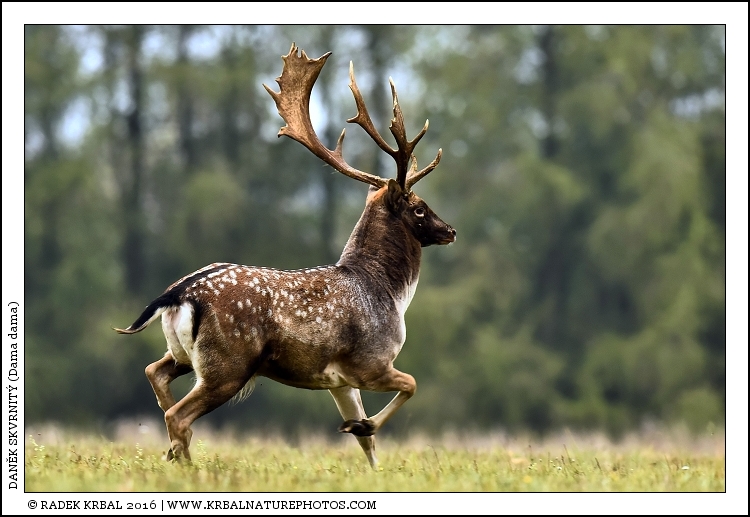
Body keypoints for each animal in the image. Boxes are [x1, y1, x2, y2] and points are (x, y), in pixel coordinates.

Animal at [114, 43, 456, 469]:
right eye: (420, 208)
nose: (451, 230)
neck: (388, 294)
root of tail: (179, 294)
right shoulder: (370, 362)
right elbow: (410, 385)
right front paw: (362, 426)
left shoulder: (339, 381)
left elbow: (369, 445)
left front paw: (364, 441)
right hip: (228, 363)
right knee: (178, 415)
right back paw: (186, 467)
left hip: (183, 355)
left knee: (155, 374)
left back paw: (172, 457)